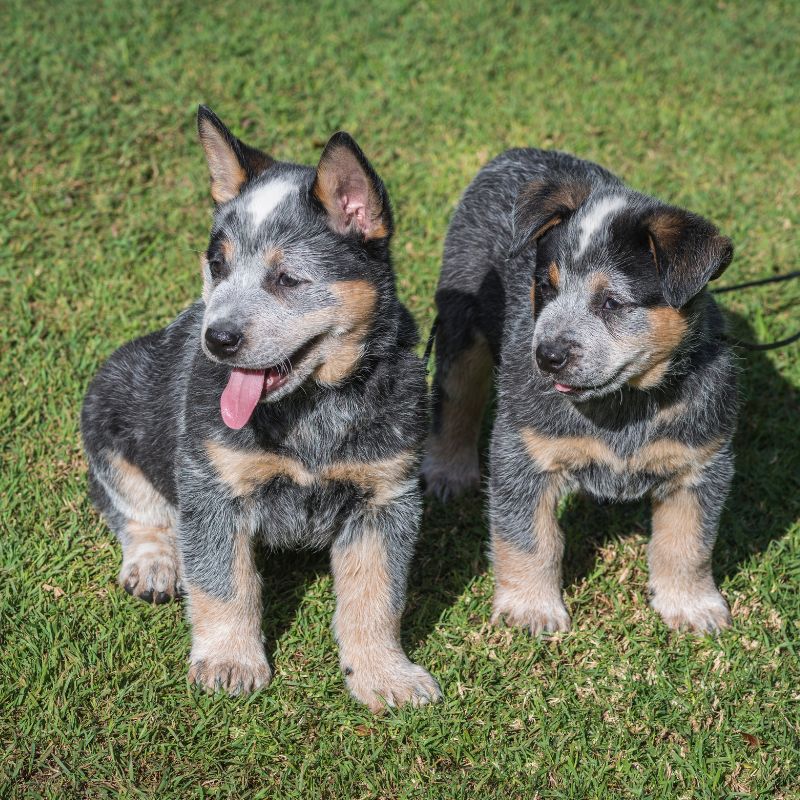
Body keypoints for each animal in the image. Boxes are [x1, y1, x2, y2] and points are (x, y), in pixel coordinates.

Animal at [81, 108, 444, 712]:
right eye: (216, 264)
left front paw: (383, 674)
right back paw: (154, 563)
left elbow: (376, 597)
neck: (312, 409)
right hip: (109, 402)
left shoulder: (386, 496)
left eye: (287, 278)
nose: (216, 338)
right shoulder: (211, 489)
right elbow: (223, 585)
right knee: (133, 508)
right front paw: (229, 661)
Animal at [424, 148, 736, 636]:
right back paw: (449, 471)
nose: (546, 355)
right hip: (463, 325)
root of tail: (515, 152)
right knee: (456, 400)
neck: (624, 406)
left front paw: (691, 605)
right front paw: (530, 608)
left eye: (612, 303)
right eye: (545, 287)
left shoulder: (701, 464)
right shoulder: (523, 455)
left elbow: (688, 544)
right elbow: (530, 539)